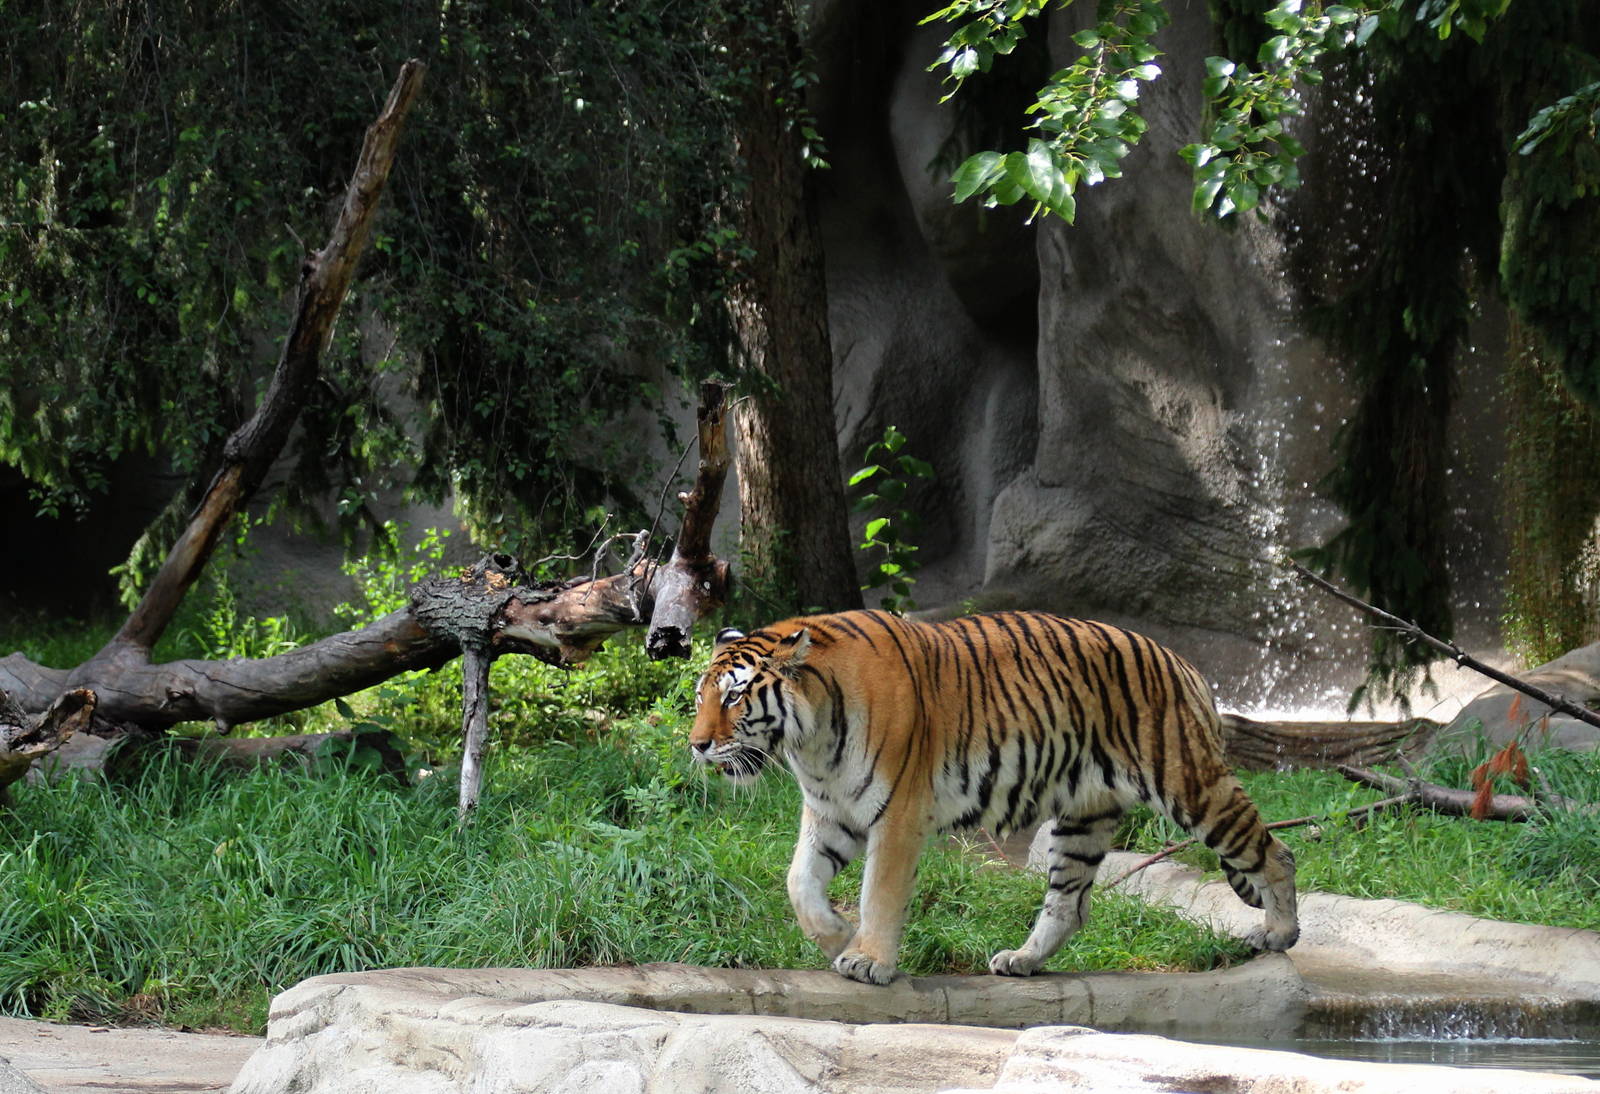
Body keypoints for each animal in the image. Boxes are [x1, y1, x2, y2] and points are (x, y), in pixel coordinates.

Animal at [688, 609, 1297, 986]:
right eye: (700, 697)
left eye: (735, 697)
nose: (697, 744)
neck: (809, 738)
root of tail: (1185, 664)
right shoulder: (830, 812)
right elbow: (799, 884)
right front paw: (838, 938)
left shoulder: (897, 814)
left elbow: (879, 893)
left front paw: (867, 959)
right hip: (1082, 819)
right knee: (1069, 903)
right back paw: (1022, 960)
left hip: (1190, 784)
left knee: (1275, 853)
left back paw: (1279, 933)